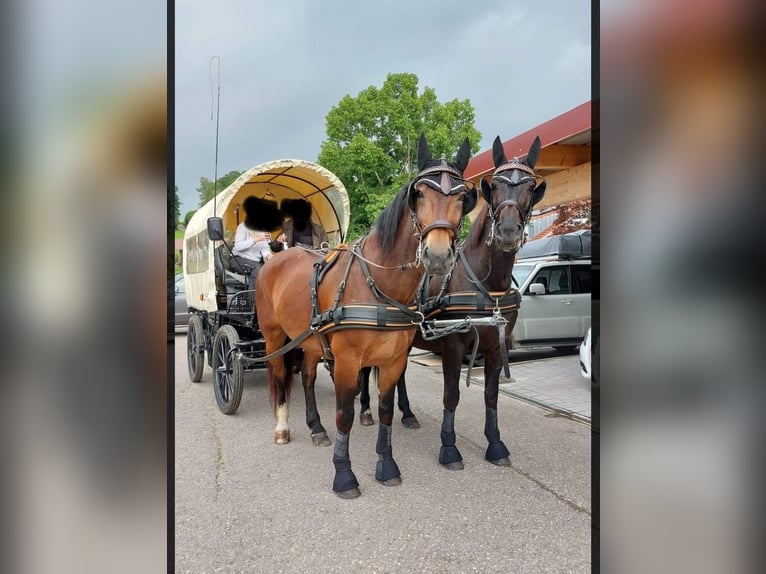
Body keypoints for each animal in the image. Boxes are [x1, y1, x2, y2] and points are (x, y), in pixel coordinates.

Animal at [358, 137, 544, 470]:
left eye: (530, 187)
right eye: (496, 185)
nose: (508, 232)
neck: (486, 283)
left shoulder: (496, 347)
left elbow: (491, 396)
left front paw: (495, 444)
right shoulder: (454, 345)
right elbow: (452, 395)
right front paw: (449, 448)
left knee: (399, 373)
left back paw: (407, 413)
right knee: (367, 371)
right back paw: (366, 411)